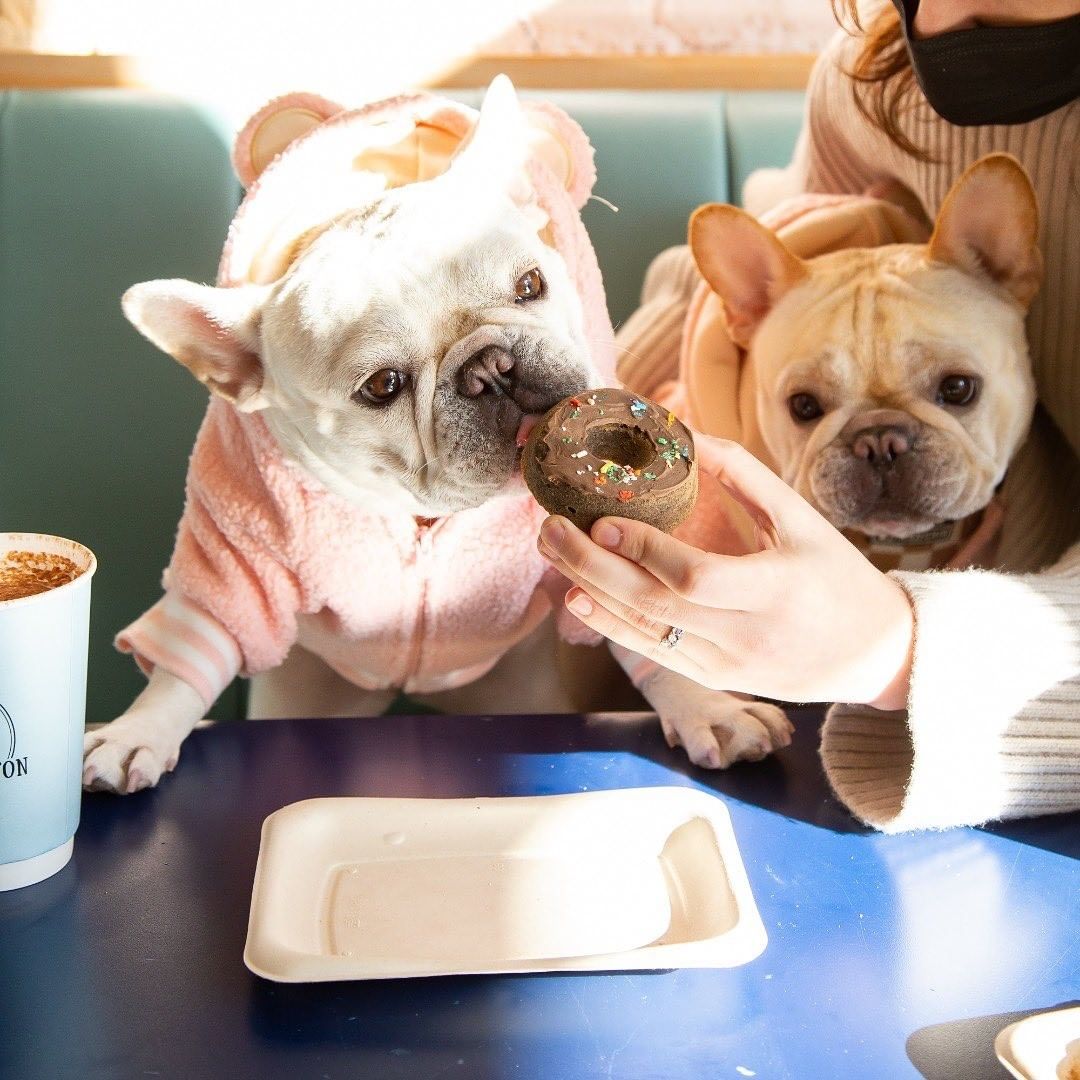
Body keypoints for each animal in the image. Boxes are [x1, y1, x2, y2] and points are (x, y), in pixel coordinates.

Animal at [82, 78, 793, 794]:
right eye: (382, 385)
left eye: (530, 283)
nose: (491, 367)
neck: (424, 516)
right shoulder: (237, 550)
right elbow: (200, 636)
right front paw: (139, 730)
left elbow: (639, 624)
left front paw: (707, 707)